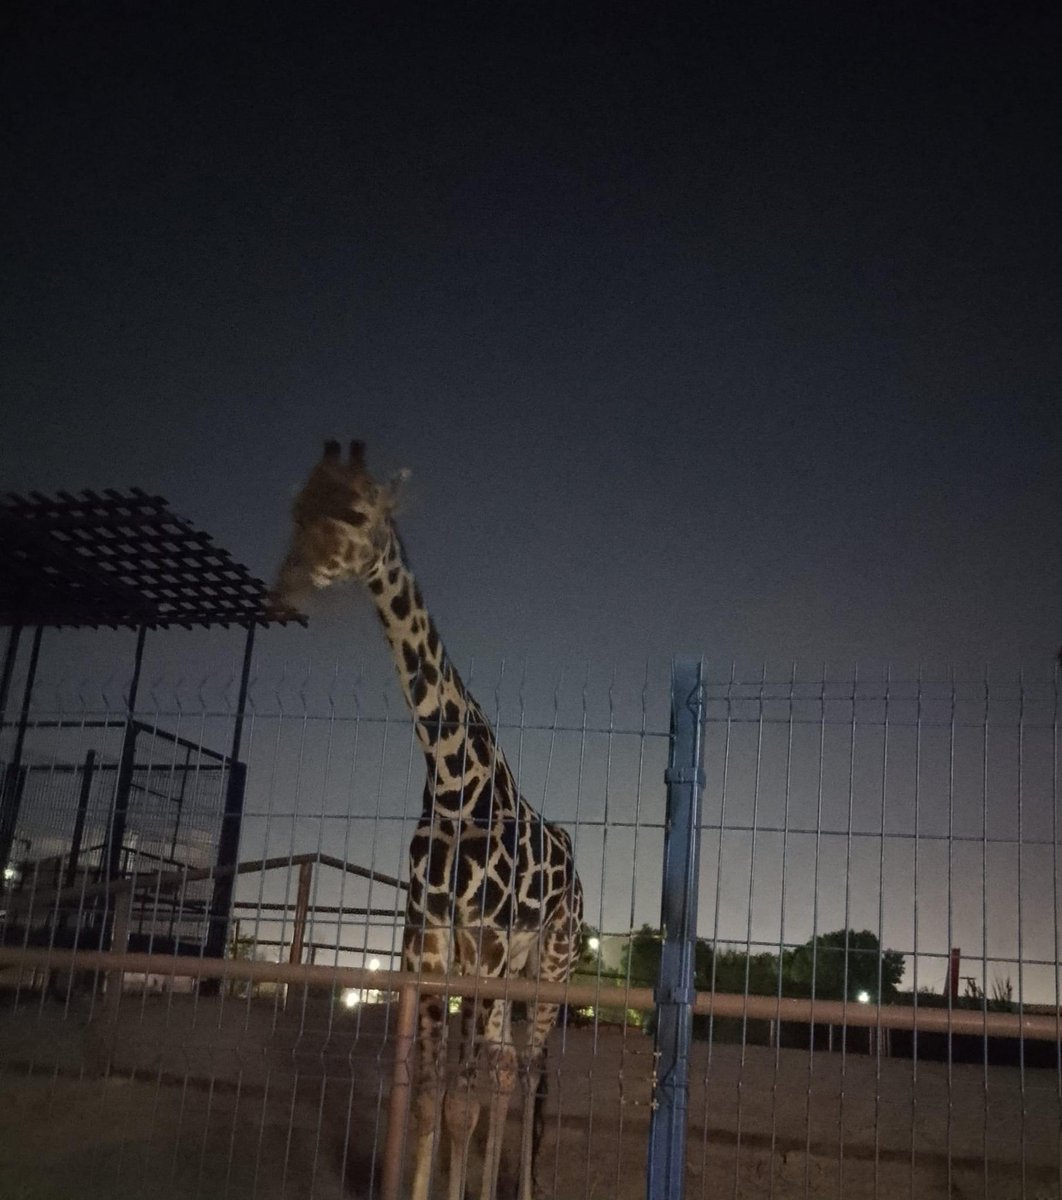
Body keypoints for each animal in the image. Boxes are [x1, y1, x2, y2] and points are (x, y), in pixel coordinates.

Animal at [270, 440, 583, 1200]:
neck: (452, 780)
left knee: (526, 1069)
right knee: (506, 1068)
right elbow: (430, 1094)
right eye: (296, 508)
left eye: (357, 514)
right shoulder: (430, 939)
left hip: (551, 964)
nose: (282, 591)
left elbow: (461, 1097)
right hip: (512, 970)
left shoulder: (486, 944)